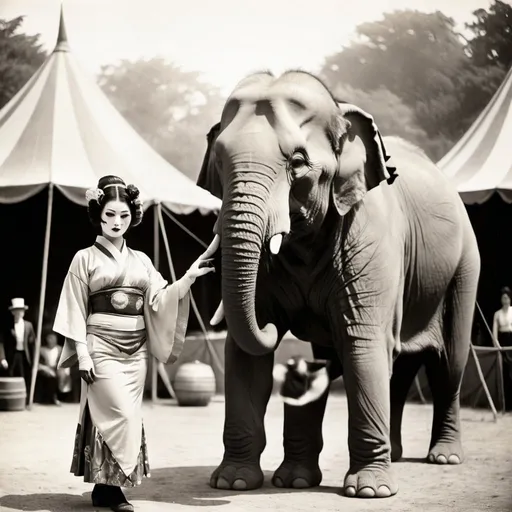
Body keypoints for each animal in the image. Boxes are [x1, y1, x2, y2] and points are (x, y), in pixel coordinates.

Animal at [196, 70, 480, 498]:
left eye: (298, 163)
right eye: (219, 160)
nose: (273, 326)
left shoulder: (370, 236)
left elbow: (361, 343)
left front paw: (369, 492)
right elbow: (245, 355)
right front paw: (237, 482)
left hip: (464, 265)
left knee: (448, 363)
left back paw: (443, 457)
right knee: (397, 365)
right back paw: (386, 457)